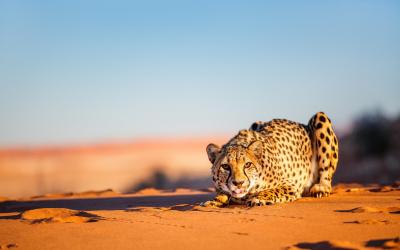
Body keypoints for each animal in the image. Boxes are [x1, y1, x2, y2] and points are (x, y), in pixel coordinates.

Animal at [203, 112, 338, 206]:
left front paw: (258, 198)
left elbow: (270, 191)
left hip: (320, 117)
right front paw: (215, 201)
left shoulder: (291, 186)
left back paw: (320, 188)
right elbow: (222, 193)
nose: (238, 183)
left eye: (247, 165)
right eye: (225, 166)